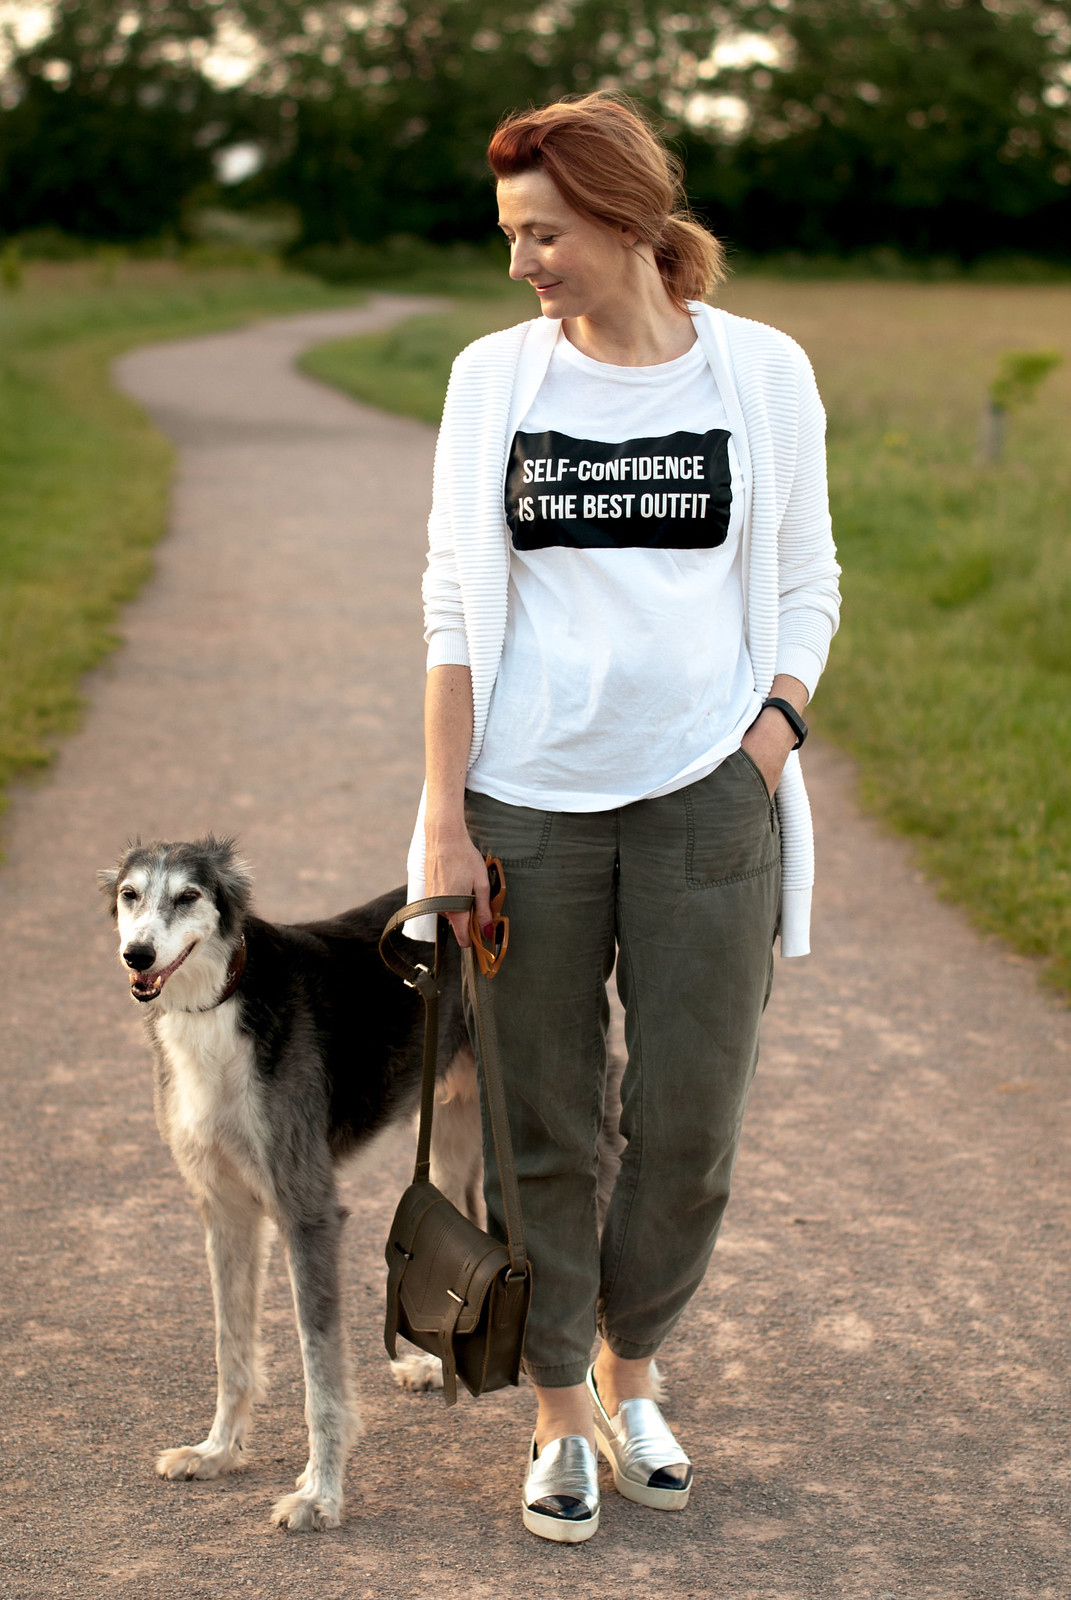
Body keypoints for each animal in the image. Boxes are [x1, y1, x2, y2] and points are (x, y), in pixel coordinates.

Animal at [100, 838, 483, 1523]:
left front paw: (320, 1493)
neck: (218, 1007)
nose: (136, 955)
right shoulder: (225, 1211)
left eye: (189, 896)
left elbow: (319, 1370)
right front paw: (216, 1452)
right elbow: (231, 1349)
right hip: (448, 1132)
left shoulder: (308, 1212)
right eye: (129, 895)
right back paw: (439, 1366)